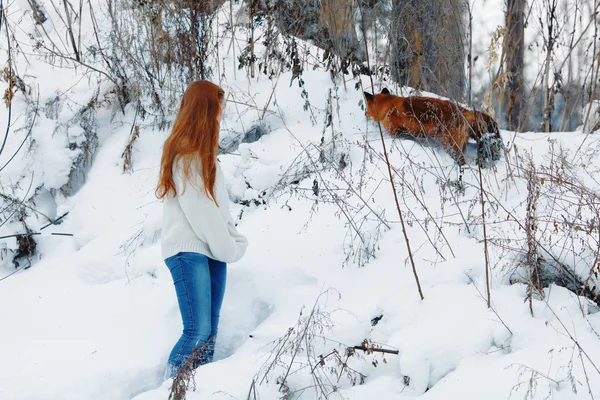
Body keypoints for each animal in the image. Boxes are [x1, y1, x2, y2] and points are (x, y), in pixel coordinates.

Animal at [364, 88, 504, 166]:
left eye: (366, 108)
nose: (365, 114)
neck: (389, 106)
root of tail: (463, 111)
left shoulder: (396, 132)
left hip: (450, 145)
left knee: (461, 161)